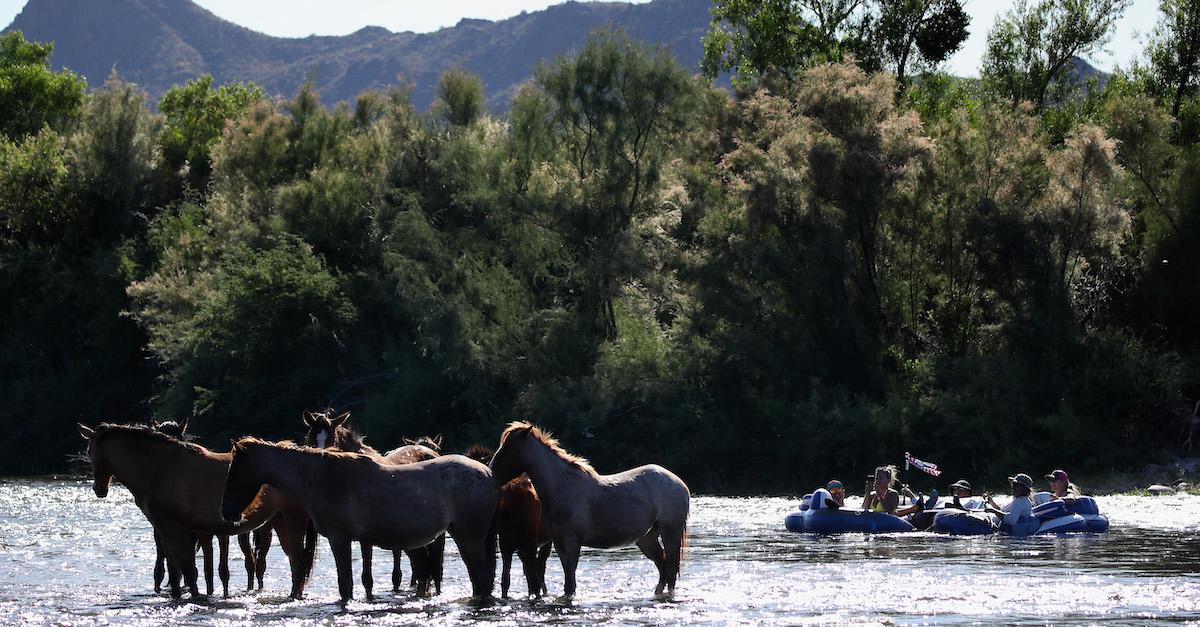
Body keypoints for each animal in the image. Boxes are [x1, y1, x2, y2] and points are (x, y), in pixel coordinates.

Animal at [220, 434, 496, 600]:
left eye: (235, 471)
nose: (227, 512)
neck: (322, 479)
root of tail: (487, 472)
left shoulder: (339, 540)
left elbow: (346, 585)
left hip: (470, 537)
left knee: (481, 575)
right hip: (460, 536)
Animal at [465, 439, 549, 595]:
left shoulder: (530, 546)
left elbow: (533, 580)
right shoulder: (507, 546)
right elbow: (506, 581)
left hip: (546, 542)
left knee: (540, 569)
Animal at [489, 420, 696, 595]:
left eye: (508, 448)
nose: (491, 471)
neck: (562, 486)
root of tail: (680, 484)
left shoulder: (572, 542)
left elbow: (570, 584)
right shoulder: (559, 543)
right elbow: (568, 580)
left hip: (670, 532)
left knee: (670, 571)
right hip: (647, 538)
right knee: (663, 568)